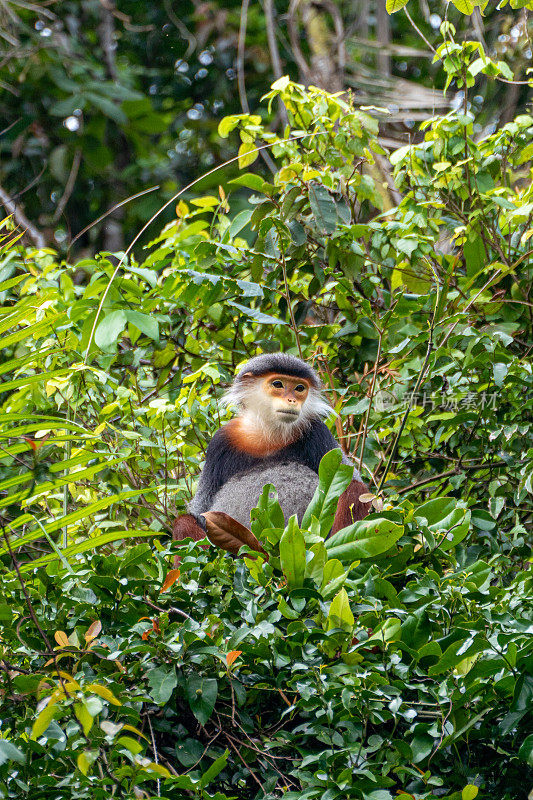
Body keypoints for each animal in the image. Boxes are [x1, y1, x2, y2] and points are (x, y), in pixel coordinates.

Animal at [174, 356, 370, 556]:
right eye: (278, 384)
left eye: (300, 388)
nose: (292, 400)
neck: (268, 436)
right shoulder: (220, 441)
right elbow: (199, 513)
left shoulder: (318, 431)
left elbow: (355, 482)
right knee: (183, 522)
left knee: (354, 488)